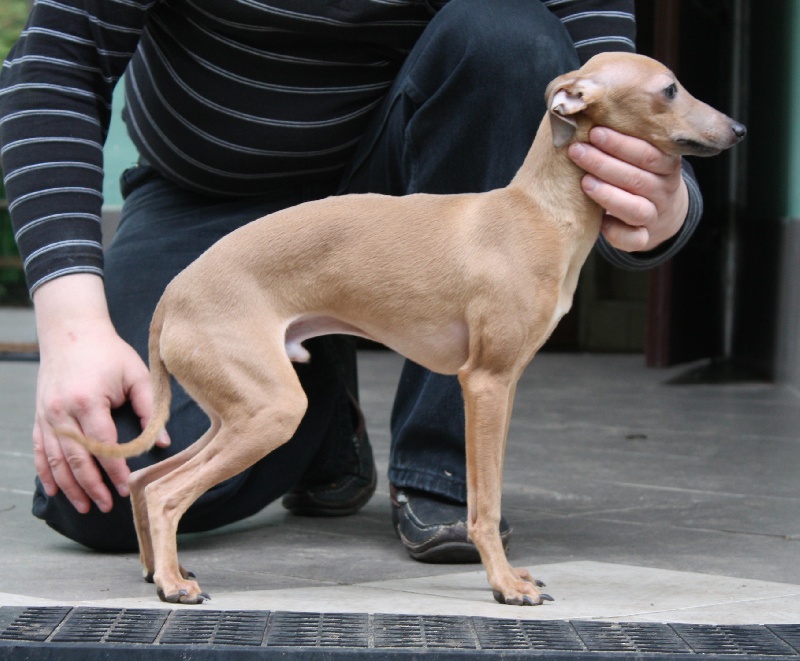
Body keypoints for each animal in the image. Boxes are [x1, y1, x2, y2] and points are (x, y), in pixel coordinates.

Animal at [65, 54, 748, 604]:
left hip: (239, 410)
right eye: (669, 89)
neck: (535, 212)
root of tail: (173, 295)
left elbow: (487, 492)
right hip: (270, 411)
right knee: (167, 493)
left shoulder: (504, 388)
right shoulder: (485, 383)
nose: (739, 129)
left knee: (146, 479)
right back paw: (174, 585)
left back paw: (160, 572)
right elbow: (483, 504)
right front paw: (505, 585)